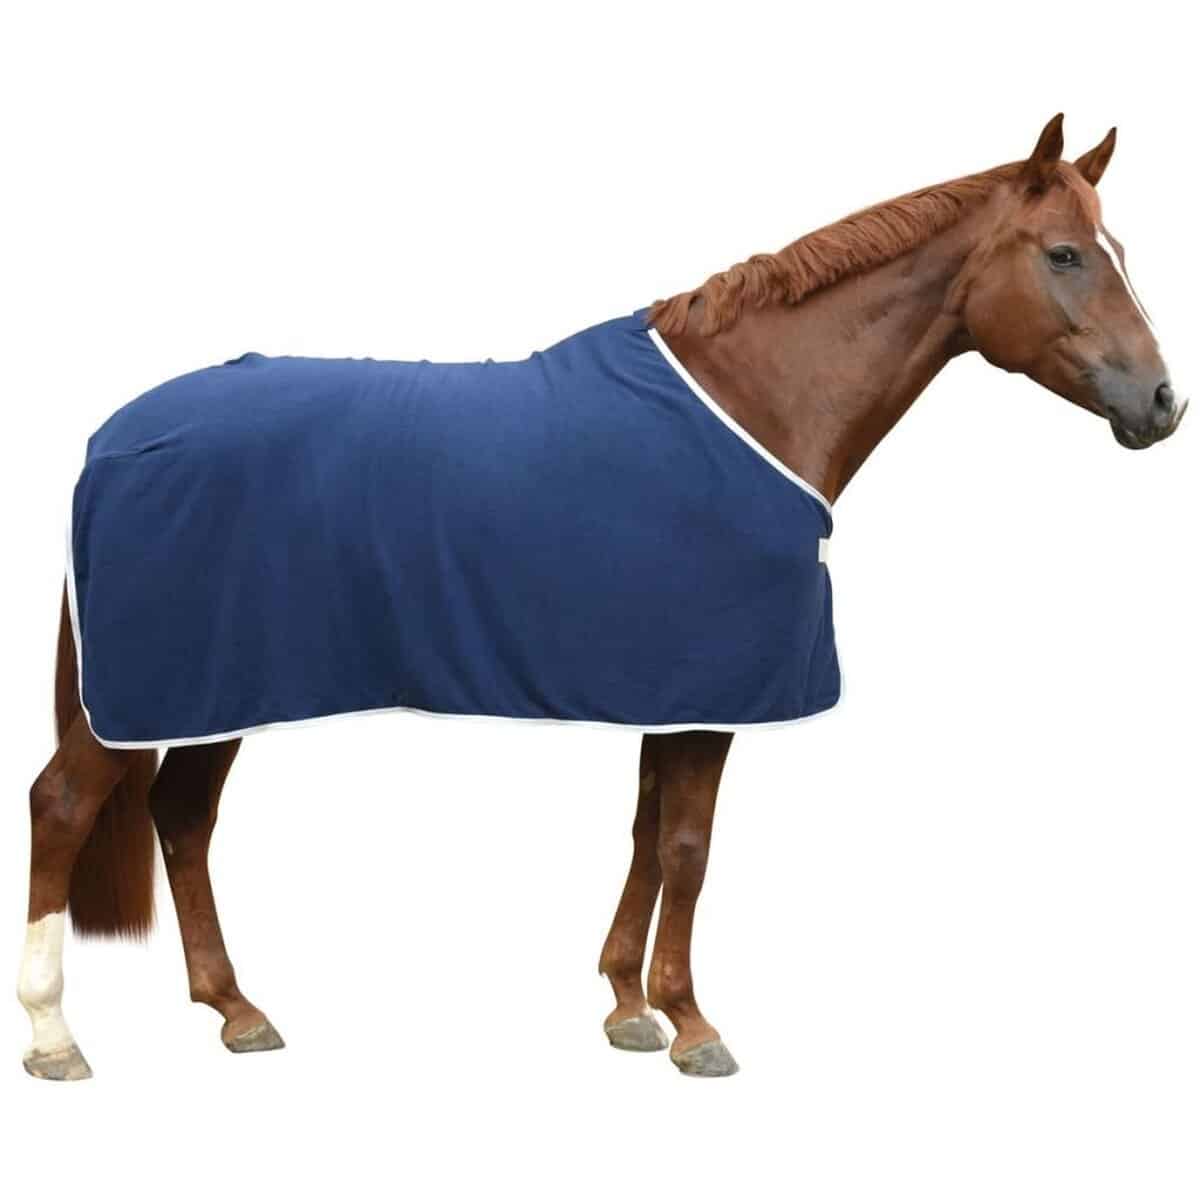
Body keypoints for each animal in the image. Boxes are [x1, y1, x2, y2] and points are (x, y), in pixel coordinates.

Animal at [19, 114, 1184, 1082]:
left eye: (1119, 252)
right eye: (1066, 254)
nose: (1164, 403)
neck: (751, 407)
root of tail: (113, 437)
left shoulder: (672, 689)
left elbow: (645, 831)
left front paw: (629, 1005)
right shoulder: (716, 696)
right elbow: (688, 849)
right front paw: (694, 1024)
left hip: (217, 690)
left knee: (183, 819)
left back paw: (237, 1011)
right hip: (154, 698)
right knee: (62, 807)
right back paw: (53, 1036)